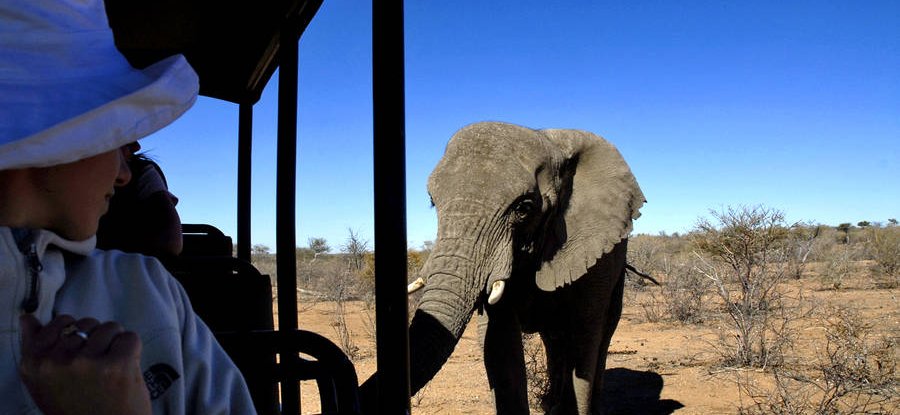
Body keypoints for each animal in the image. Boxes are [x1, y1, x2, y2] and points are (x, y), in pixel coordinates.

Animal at [360, 122, 648, 414]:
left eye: (524, 208)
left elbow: (584, 334)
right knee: (554, 338)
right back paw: (550, 404)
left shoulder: (595, 253)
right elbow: (500, 341)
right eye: (432, 201)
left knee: (601, 333)